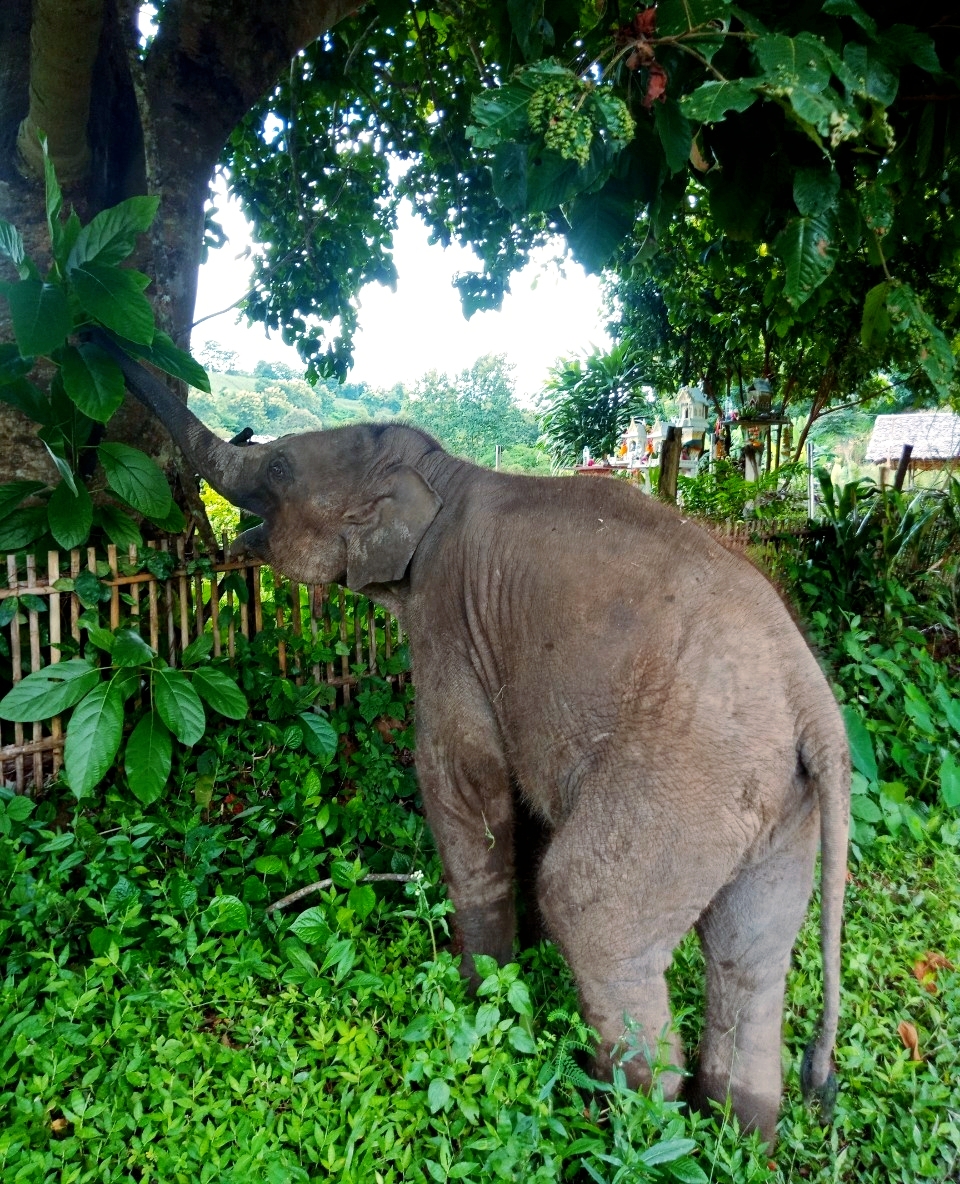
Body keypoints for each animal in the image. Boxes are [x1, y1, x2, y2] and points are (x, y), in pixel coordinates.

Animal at [105, 340, 849, 1146]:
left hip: (686, 780)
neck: (439, 468)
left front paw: (480, 993)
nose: (90, 339)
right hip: (775, 804)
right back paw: (740, 1135)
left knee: (593, 911)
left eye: (277, 471)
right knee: (749, 957)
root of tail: (814, 705)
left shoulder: (444, 614)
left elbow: (461, 778)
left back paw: (629, 1130)